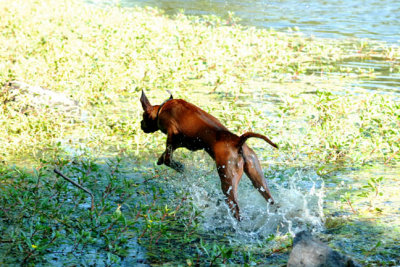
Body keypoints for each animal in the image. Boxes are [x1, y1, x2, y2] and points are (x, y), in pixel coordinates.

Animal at [139, 91, 276, 221]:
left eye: (143, 116)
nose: (140, 124)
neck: (162, 108)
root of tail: (238, 141)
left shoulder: (172, 134)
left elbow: (168, 158)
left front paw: (178, 166)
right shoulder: (181, 142)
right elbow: (165, 156)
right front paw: (162, 160)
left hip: (228, 182)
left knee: (236, 209)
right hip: (258, 180)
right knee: (271, 201)